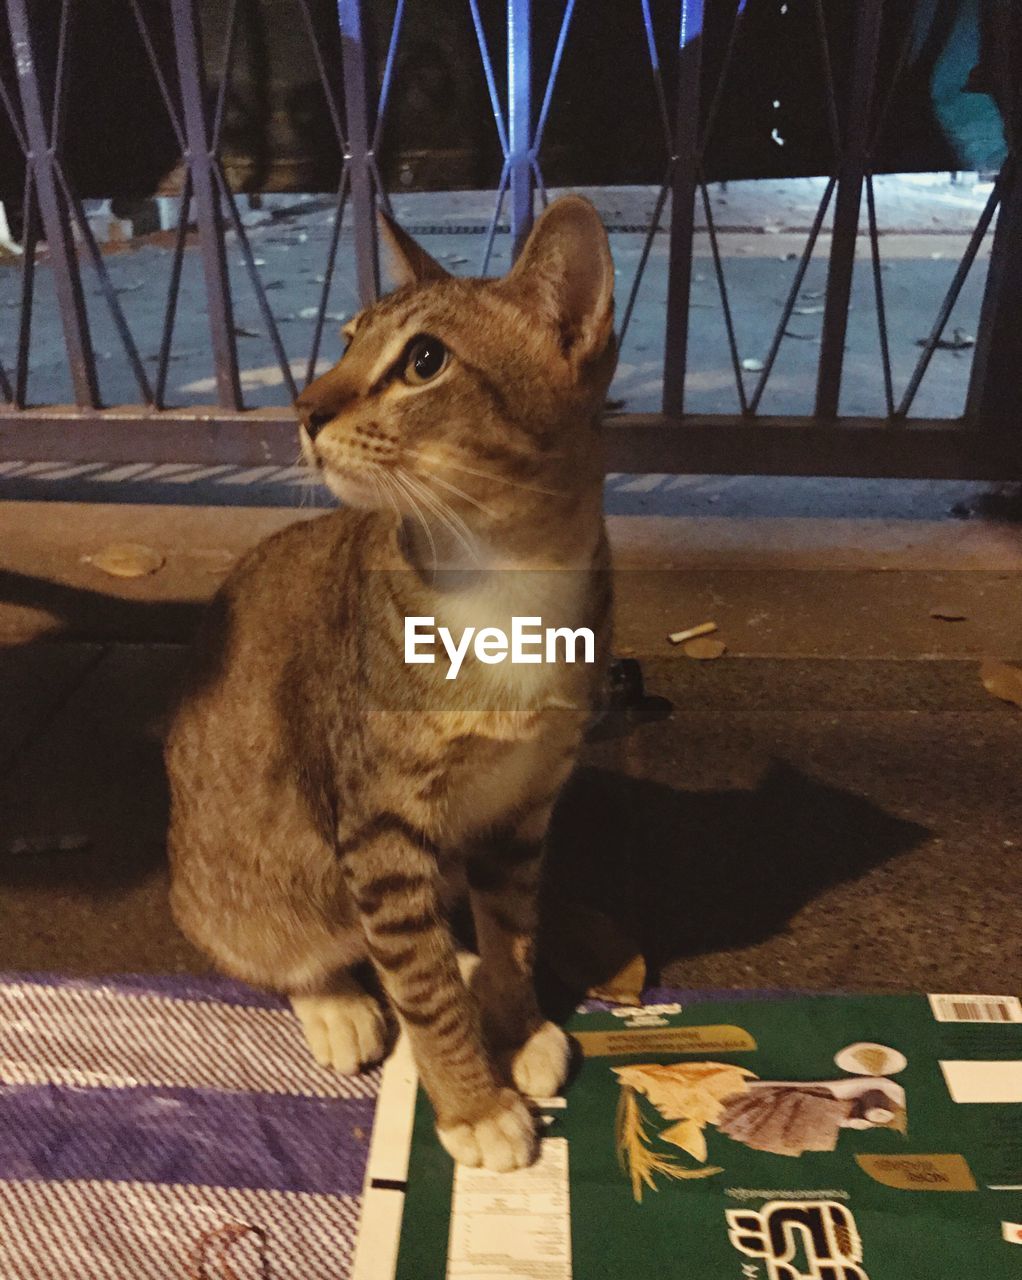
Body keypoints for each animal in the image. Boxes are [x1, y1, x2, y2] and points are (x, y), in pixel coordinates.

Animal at [165, 192, 619, 1172]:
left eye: (423, 362)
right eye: (342, 342)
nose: (303, 407)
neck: (501, 578)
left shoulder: (524, 805)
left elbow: (513, 930)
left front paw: (512, 1021)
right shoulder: (379, 825)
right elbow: (420, 986)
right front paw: (472, 1103)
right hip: (256, 874)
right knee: (298, 944)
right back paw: (336, 1000)